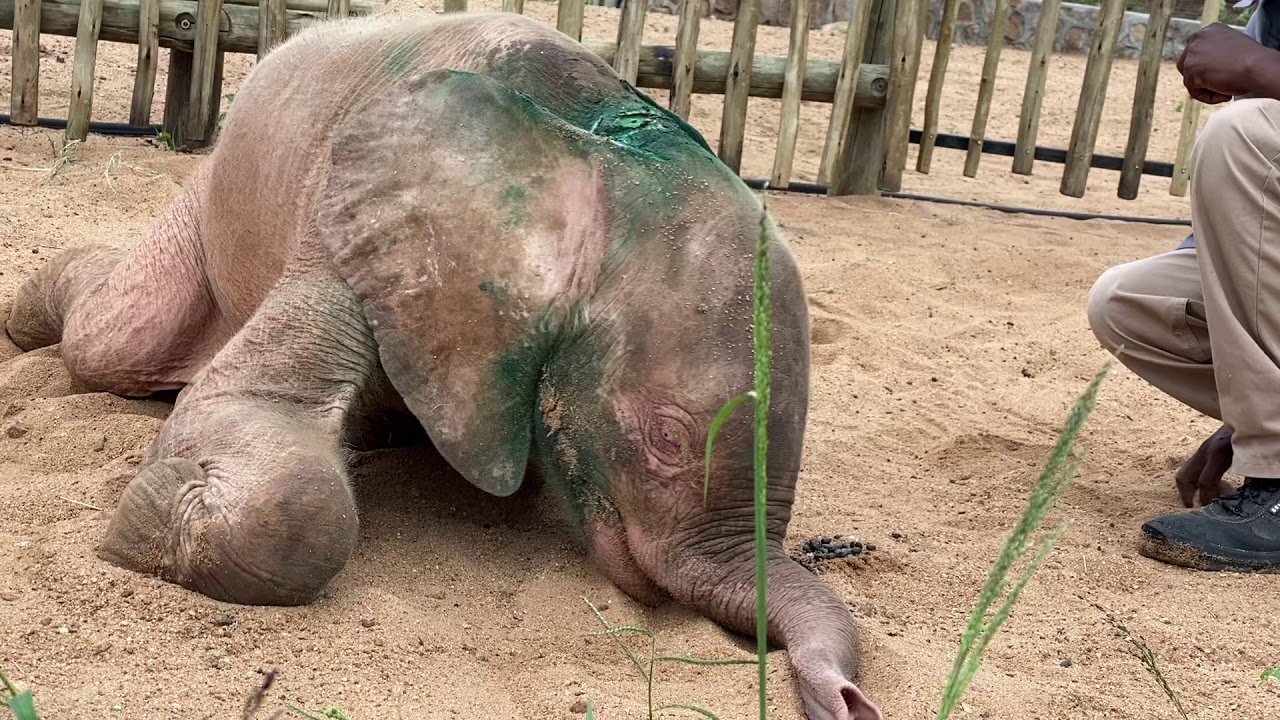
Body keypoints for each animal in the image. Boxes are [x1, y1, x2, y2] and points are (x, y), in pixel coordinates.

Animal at [4, 12, 881, 719]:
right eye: (665, 439)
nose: (847, 701)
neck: (601, 143)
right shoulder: (354, 215)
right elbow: (280, 466)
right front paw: (143, 526)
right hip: (216, 191)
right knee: (113, 341)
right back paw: (26, 318)